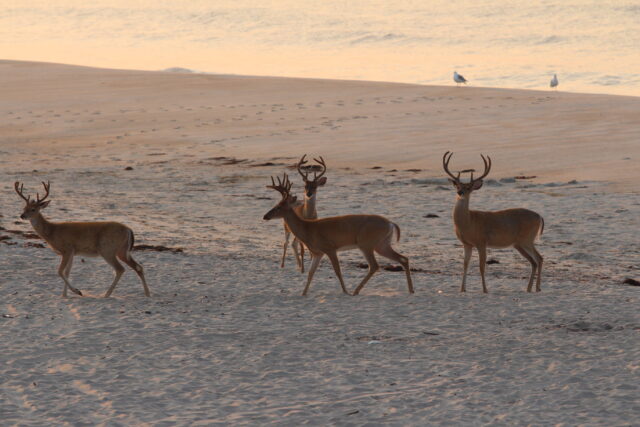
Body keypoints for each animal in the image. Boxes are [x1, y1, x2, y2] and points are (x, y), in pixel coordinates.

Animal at [15, 181, 150, 298]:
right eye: (24, 208)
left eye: (33, 209)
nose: (22, 216)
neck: (52, 232)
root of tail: (129, 230)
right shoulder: (73, 252)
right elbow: (67, 272)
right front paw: (65, 295)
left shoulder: (67, 248)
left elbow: (60, 271)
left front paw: (77, 291)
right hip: (122, 250)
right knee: (138, 267)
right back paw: (147, 293)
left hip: (107, 249)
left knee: (120, 269)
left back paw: (106, 294)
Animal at [263, 173, 414, 296]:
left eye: (278, 207)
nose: (265, 216)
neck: (308, 229)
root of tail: (391, 223)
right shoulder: (318, 252)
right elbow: (311, 273)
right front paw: (303, 293)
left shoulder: (330, 248)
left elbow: (337, 271)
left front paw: (345, 291)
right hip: (382, 244)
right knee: (403, 258)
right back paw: (411, 290)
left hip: (366, 244)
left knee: (375, 265)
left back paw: (355, 291)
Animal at [442, 151, 544, 293]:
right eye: (457, 185)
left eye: (468, 187)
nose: (460, 192)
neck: (468, 222)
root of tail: (539, 216)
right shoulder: (466, 244)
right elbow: (465, 265)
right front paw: (462, 289)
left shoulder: (481, 242)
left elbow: (481, 267)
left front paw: (485, 290)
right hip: (519, 243)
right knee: (536, 260)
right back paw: (532, 288)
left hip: (527, 239)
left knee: (538, 259)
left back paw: (535, 287)